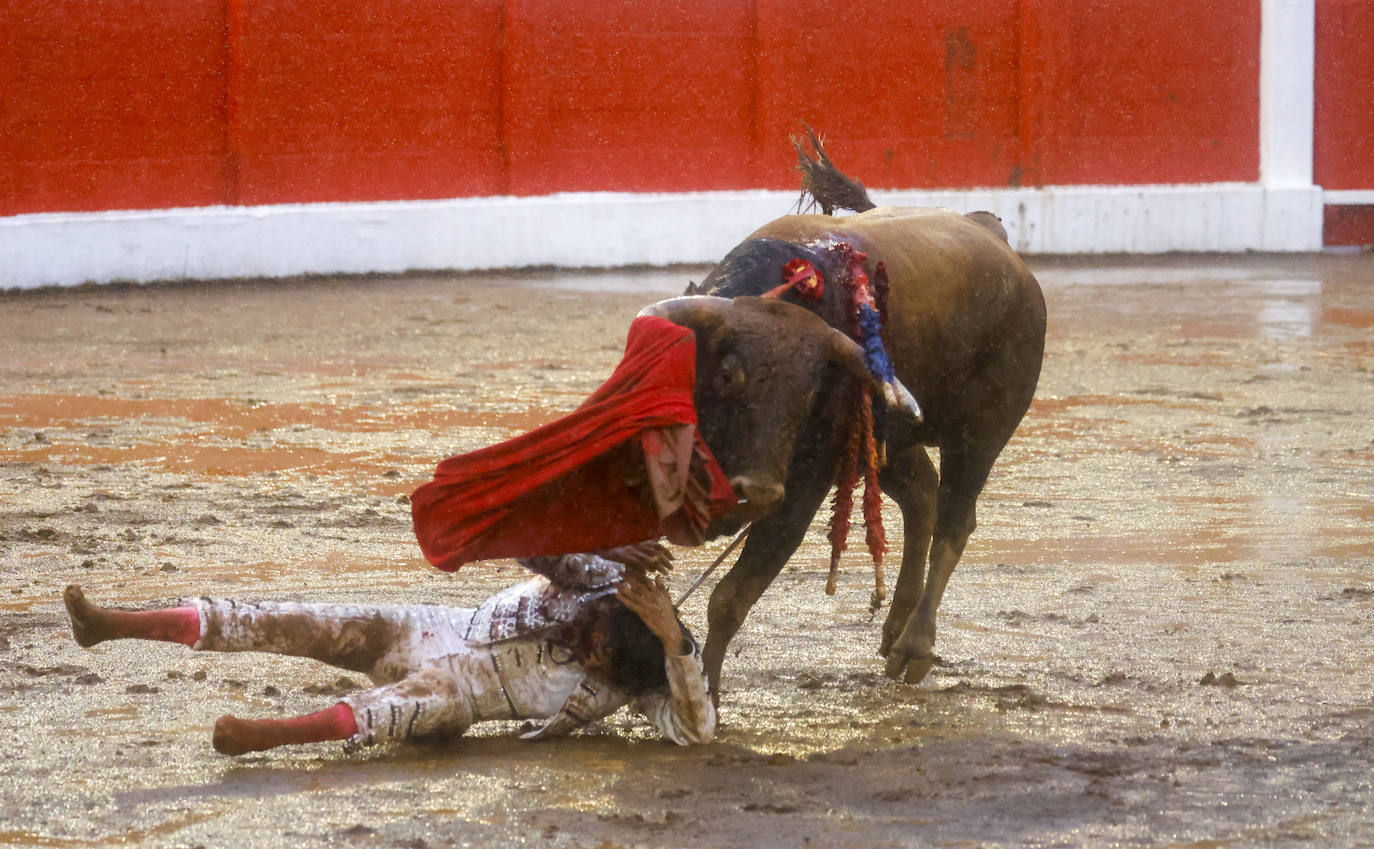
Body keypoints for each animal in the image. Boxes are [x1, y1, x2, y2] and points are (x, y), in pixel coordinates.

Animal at [637, 138, 1044, 695]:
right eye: (724, 377)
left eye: (806, 390)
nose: (755, 491)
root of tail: (996, 241)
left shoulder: (803, 489)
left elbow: (731, 596)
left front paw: (710, 691)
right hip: (890, 438)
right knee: (923, 497)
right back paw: (894, 628)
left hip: (981, 432)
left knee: (955, 520)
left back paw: (913, 646)